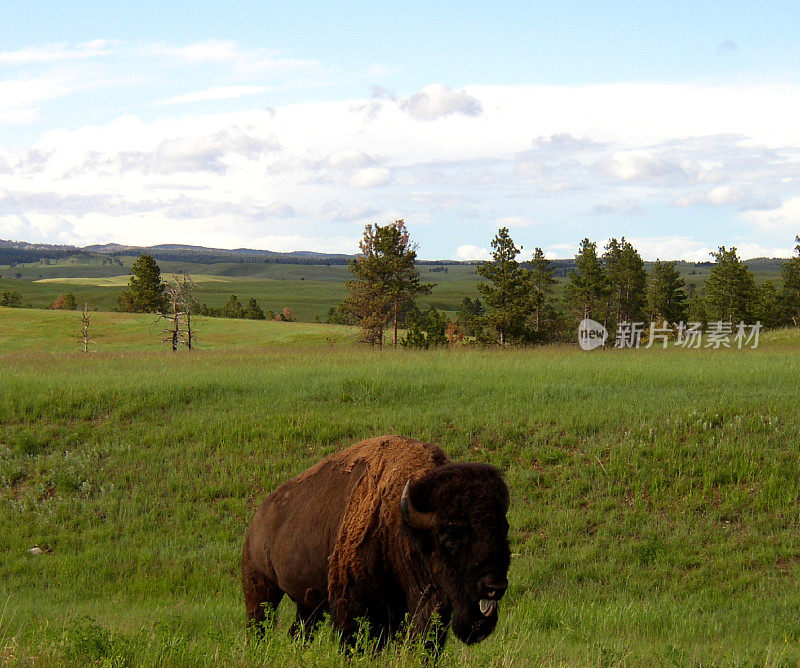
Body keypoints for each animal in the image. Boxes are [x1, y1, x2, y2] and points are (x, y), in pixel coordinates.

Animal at [241, 436, 510, 648]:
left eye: (503, 531)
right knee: (258, 624)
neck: (399, 525)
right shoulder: (354, 605)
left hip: (309, 604)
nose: (494, 586)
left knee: (299, 631)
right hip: (260, 587)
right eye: (450, 537)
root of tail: (259, 515)